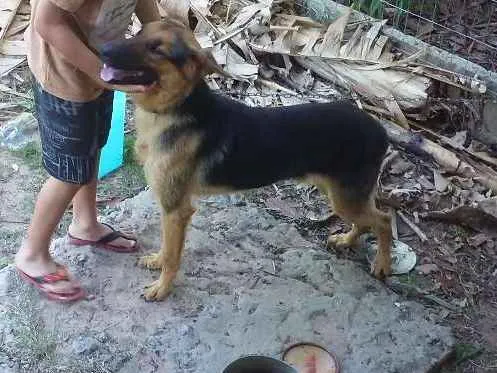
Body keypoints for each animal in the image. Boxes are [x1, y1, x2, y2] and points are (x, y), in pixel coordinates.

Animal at [98, 18, 392, 300]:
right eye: (140, 34)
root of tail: (381, 129)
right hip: (338, 192)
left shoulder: (176, 209)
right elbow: (166, 249)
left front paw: (162, 288)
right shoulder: (172, 210)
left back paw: (382, 264)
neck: (176, 106)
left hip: (344, 197)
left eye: (157, 49)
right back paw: (347, 240)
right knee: (367, 220)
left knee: (384, 219)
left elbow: (172, 254)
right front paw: (157, 262)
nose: (102, 50)